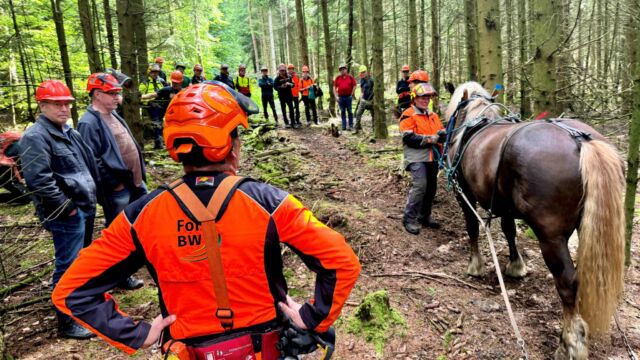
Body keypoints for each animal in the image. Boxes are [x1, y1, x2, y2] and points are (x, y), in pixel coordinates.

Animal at [444, 82, 624, 360]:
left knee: (568, 282)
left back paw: (570, 342)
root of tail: (580, 139)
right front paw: (516, 266)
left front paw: (475, 265)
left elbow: (472, 227)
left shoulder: (463, 193)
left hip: (551, 235)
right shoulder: (506, 205)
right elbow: (509, 230)